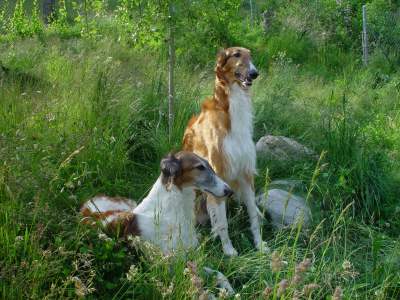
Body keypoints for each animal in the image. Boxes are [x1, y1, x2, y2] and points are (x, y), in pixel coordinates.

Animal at [183, 47, 268, 255]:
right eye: (236, 54)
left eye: (250, 55)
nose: (254, 73)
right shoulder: (218, 176)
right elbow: (222, 223)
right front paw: (229, 251)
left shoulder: (246, 173)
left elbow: (252, 215)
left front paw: (259, 244)